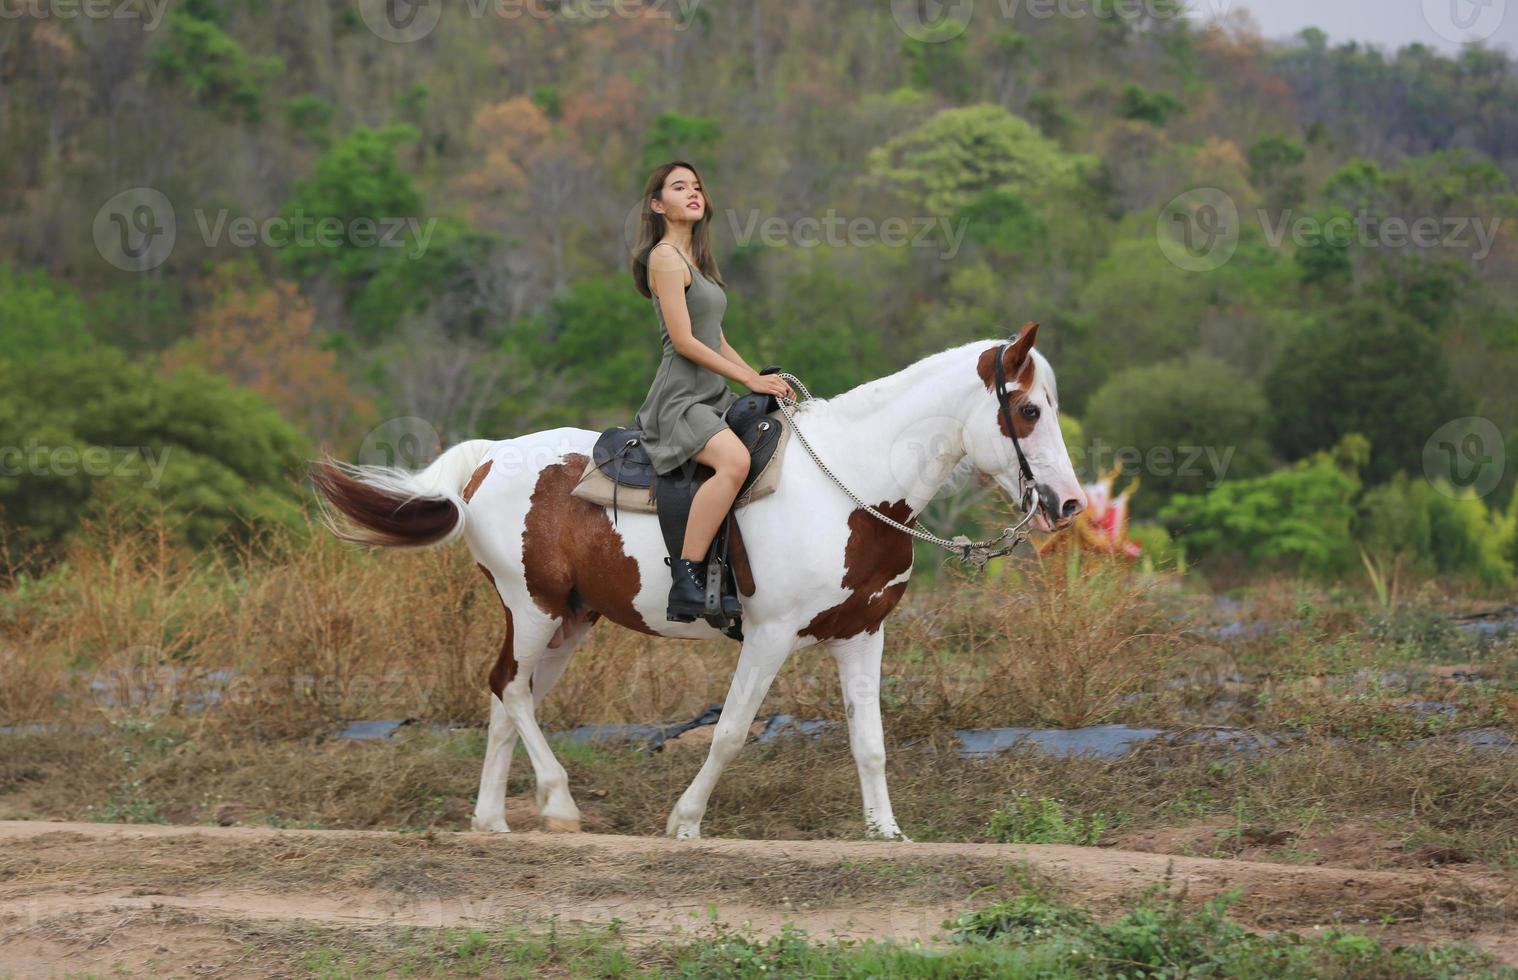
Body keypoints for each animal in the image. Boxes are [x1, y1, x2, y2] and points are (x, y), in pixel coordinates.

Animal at [314, 324, 1086, 843]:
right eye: (1028, 411)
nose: (1069, 504)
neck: (854, 482)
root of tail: (487, 461)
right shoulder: (769, 636)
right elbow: (731, 732)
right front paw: (685, 821)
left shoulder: (862, 635)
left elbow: (869, 740)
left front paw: (886, 833)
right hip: (531, 607)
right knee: (509, 688)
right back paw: (558, 805)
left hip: (567, 622)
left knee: (510, 697)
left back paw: (492, 820)